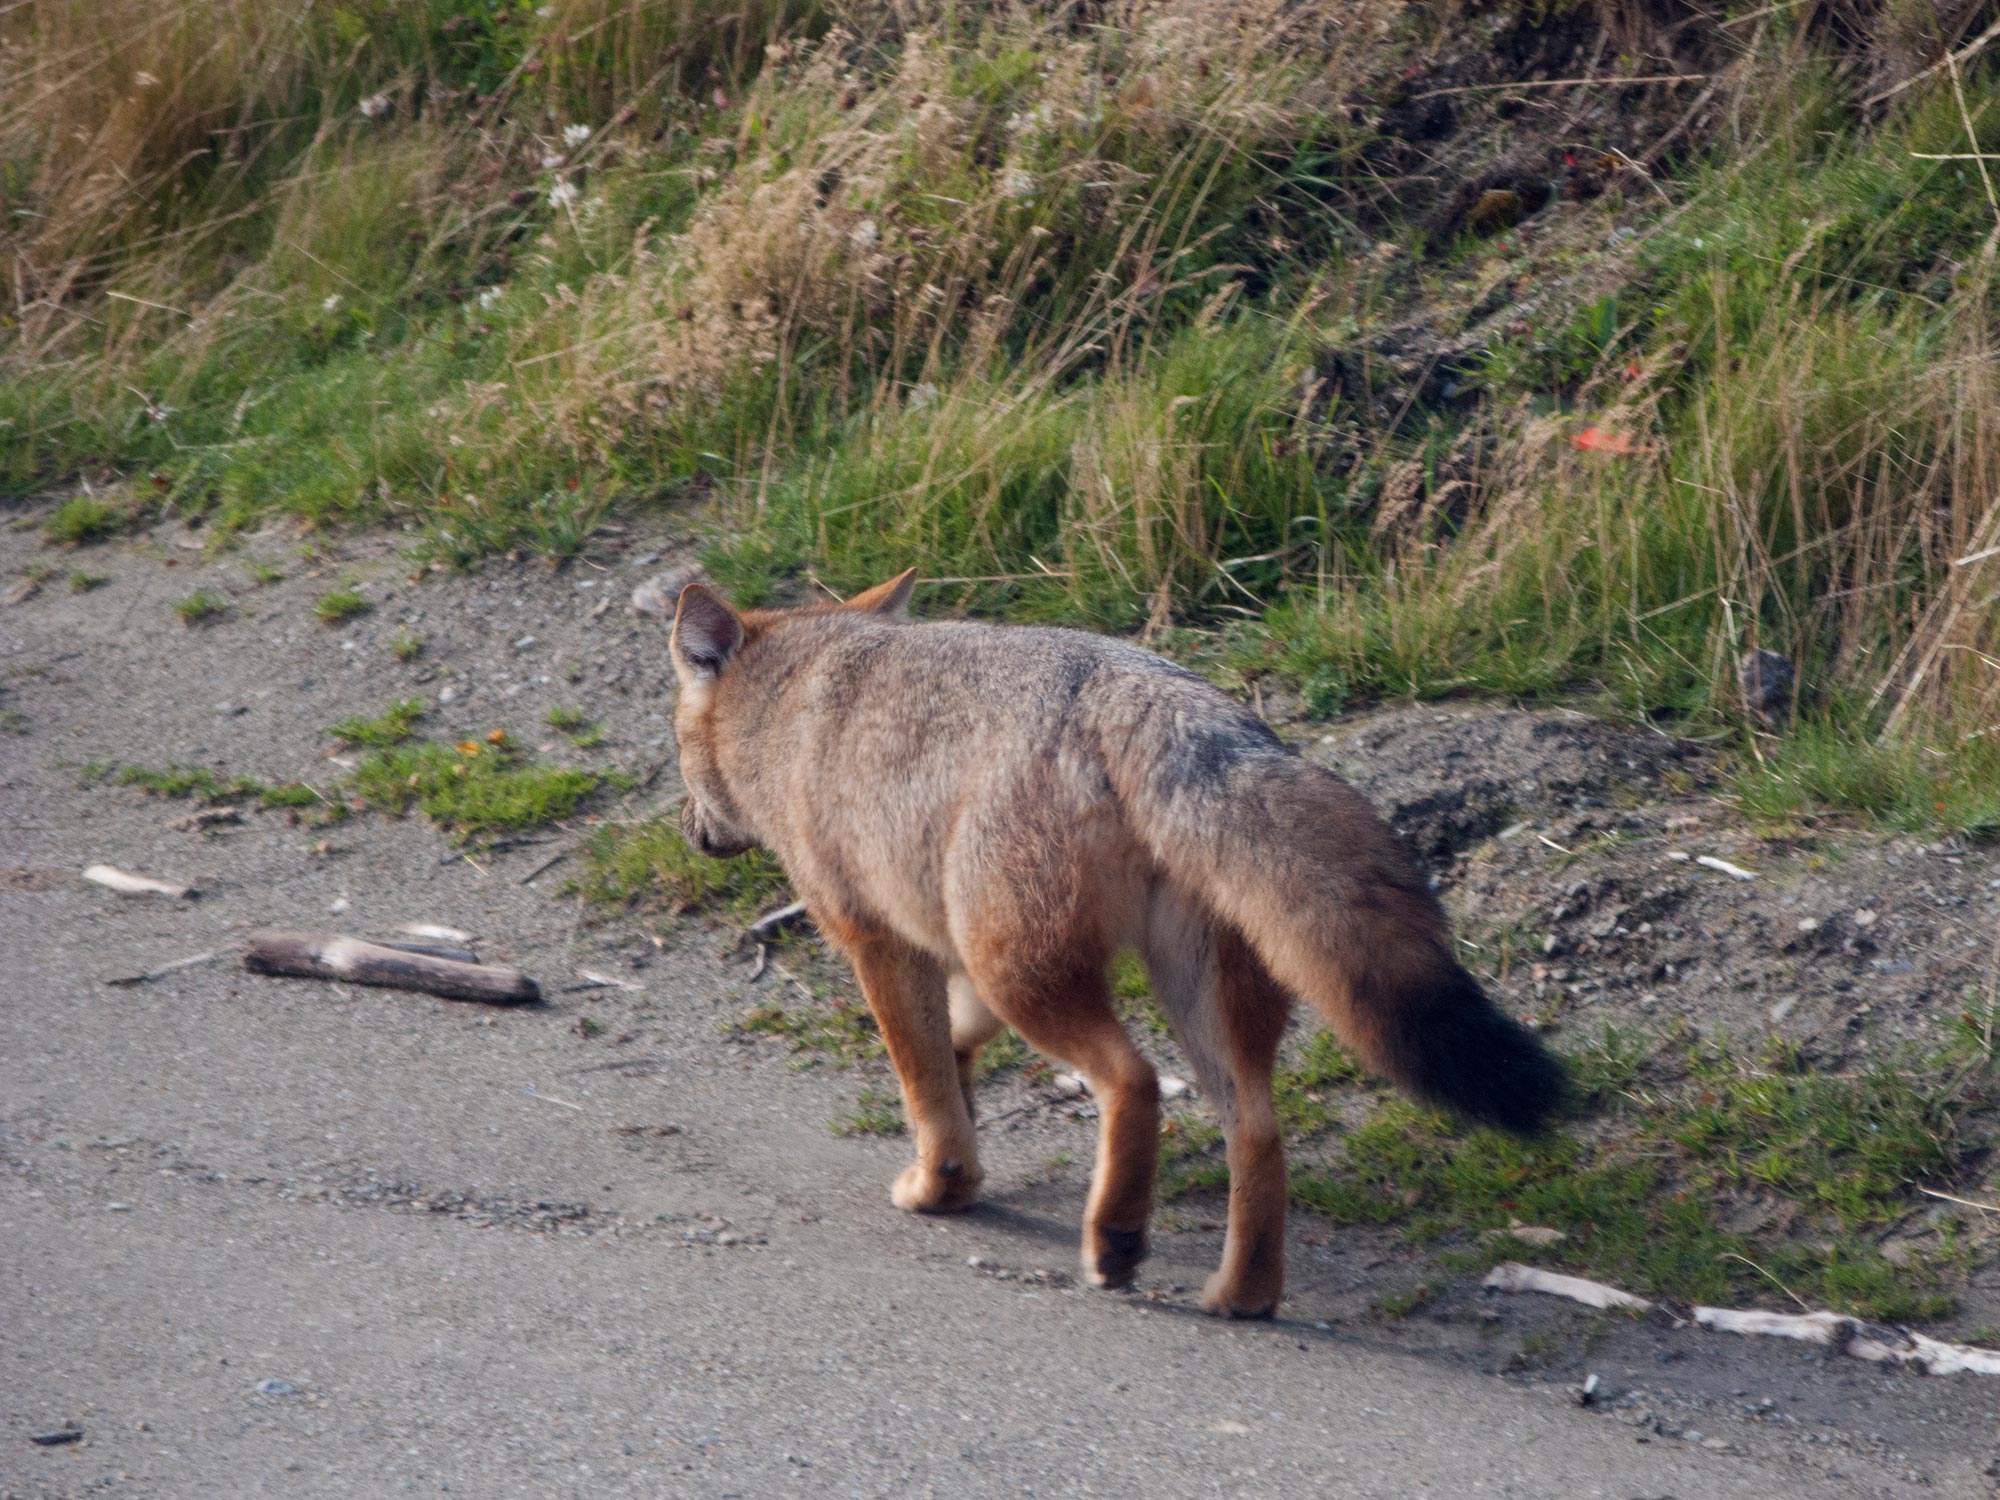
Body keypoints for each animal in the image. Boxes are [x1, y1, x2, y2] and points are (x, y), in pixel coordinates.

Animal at [672, 568, 1560, 1320]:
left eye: (674, 752)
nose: (690, 832)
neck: (792, 702)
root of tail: (1152, 695)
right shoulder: (953, 949)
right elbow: (953, 1048)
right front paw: (962, 1112)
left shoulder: (878, 940)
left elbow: (921, 1078)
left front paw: (941, 1183)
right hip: (1165, 994)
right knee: (1257, 1132)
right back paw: (1241, 1294)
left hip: (1030, 977)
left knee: (1132, 1081)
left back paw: (1117, 1243)